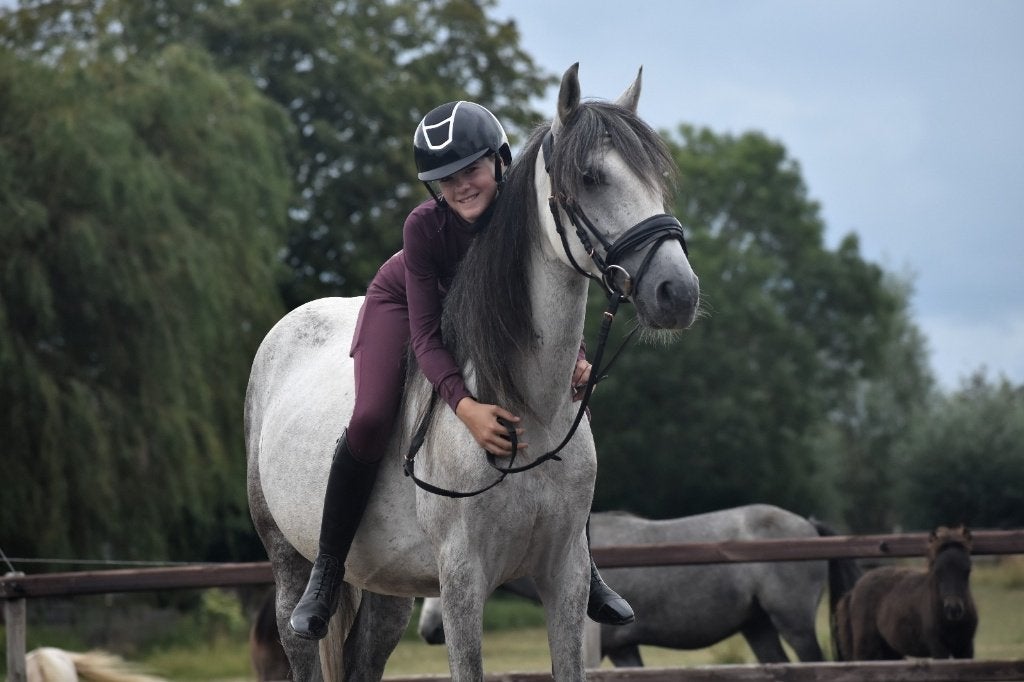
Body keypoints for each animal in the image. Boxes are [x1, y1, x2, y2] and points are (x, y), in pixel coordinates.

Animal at [834, 524, 978, 660]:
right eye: (937, 571)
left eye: (967, 570)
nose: (953, 609)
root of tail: (853, 590)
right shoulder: (938, 648)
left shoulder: (966, 647)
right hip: (867, 649)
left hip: (890, 650)